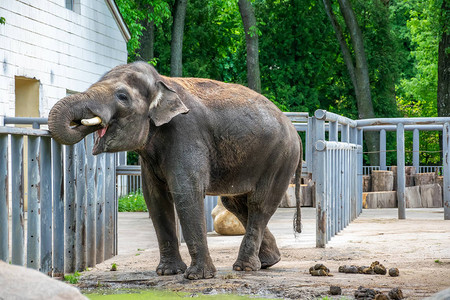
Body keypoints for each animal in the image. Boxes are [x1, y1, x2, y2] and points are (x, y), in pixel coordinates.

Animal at [48, 62, 302, 280]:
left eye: (122, 97)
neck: (162, 82)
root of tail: (295, 131)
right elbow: (155, 199)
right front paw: (167, 273)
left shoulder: (186, 133)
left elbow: (186, 194)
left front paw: (197, 277)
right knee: (236, 203)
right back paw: (268, 262)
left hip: (280, 158)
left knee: (259, 203)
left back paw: (245, 267)